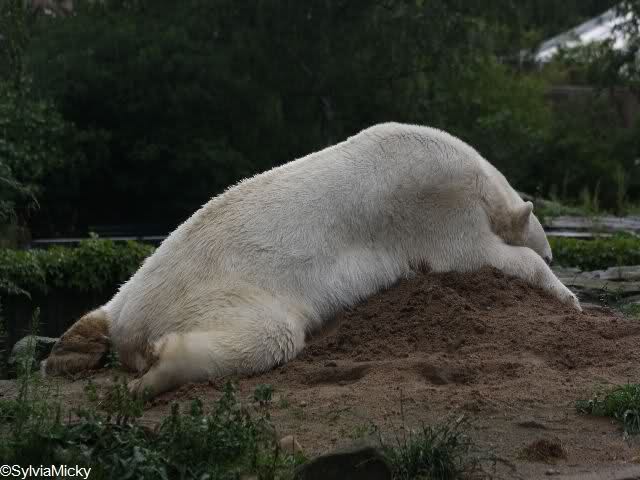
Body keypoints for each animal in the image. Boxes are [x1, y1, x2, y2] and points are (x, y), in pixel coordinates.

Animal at [42, 122, 580, 397]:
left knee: (109, 300)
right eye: (551, 251)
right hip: (220, 292)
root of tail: (134, 323)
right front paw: (568, 297)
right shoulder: (435, 205)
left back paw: (70, 349)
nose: (555, 254)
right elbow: (476, 256)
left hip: (136, 283)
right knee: (269, 335)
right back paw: (155, 372)